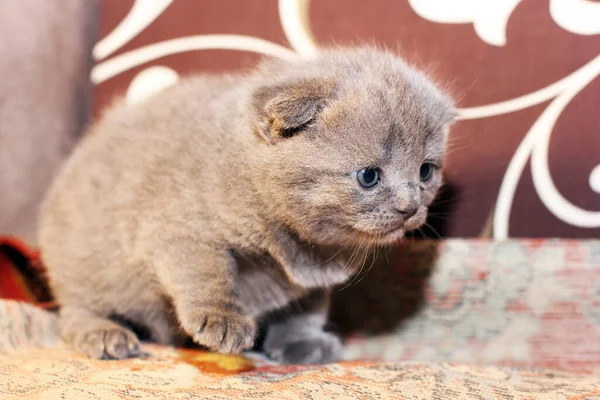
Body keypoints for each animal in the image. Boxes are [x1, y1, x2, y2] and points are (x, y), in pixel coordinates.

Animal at [38, 45, 454, 364]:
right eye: (369, 176)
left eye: (425, 171)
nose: (410, 207)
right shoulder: (182, 231)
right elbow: (206, 274)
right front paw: (223, 321)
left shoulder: (312, 282)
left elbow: (305, 310)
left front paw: (302, 343)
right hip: (85, 267)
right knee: (74, 311)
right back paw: (105, 334)